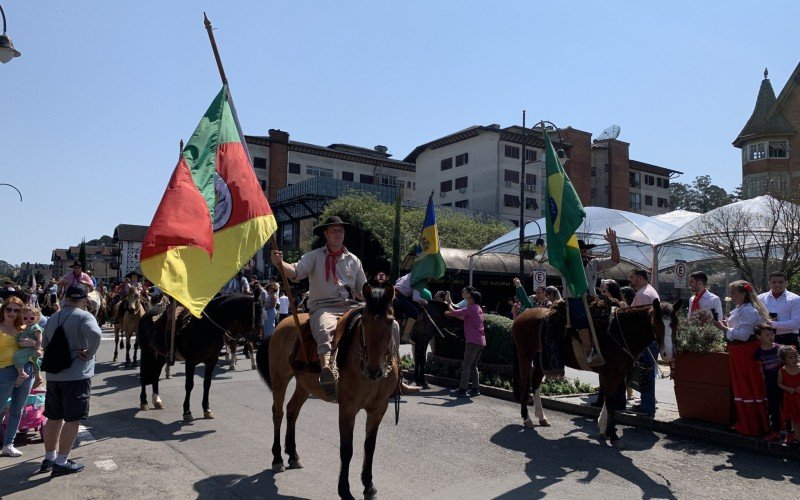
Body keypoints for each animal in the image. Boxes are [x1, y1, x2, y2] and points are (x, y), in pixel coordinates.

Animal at [260, 286, 400, 500]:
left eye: (390, 321)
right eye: (365, 321)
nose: (374, 370)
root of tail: (282, 322)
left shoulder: (378, 409)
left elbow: (369, 447)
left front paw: (369, 486)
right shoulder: (347, 409)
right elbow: (347, 449)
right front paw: (345, 491)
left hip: (304, 385)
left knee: (292, 410)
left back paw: (293, 455)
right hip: (279, 379)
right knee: (278, 412)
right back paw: (277, 459)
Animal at [516, 298, 680, 444]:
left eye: (675, 323)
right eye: (657, 323)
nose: (668, 354)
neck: (620, 331)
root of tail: (522, 315)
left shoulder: (618, 374)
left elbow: (609, 401)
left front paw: (603, 428)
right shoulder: (609, 374)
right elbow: (611, 402)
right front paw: (612, 434)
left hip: (541, 360)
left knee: (535, 383)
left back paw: (541, 417)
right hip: (525, 355)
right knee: (524, 384)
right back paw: (527, 418)